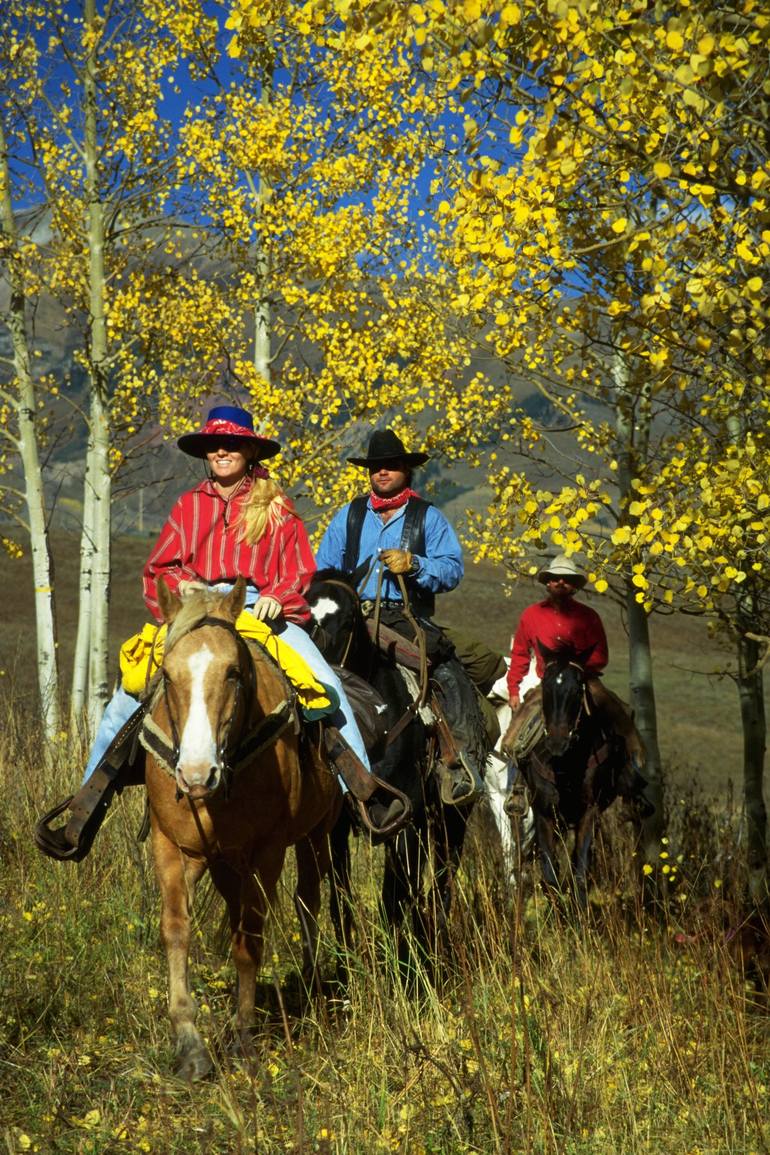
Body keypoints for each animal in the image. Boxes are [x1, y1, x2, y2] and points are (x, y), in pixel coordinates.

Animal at [143, 582, 339, 1076]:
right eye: (167, 675)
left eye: (233, 672)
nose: (196, 775)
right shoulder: (170, 846)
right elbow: (176, 929)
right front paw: (190, 1043)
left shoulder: (268, 851)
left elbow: (250, 938)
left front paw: (245, 1040)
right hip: (225, 863)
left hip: (315, 836)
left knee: (308, 901)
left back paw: (311, 986)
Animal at [304, 568, 487, 974]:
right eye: (304, 617)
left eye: (349, 620)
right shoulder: (339, 826)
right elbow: (341, 897)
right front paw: (346, 971)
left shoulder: (405, 821)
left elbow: (393, 899)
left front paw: (403, 972)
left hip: (451, 820)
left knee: (440, 884)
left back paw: (432, 949)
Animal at [517, 646, 632, 905]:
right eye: (546, 685)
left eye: (578, 688)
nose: (557, 742)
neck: (566, 765)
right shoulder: (544, 814)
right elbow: (550, 872)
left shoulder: (588, 812)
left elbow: (580, 869)